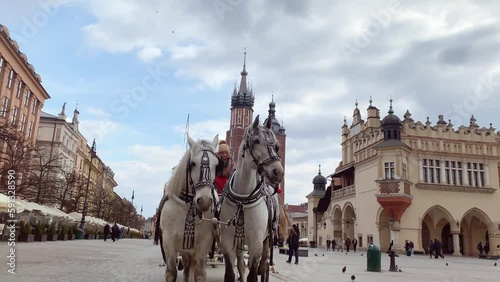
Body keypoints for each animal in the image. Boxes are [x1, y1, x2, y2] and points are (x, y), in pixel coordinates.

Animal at [155, 135, 220, 282]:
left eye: (217, 165)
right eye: (192, 164)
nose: (204, 201)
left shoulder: (203, 245)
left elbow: (199, 274)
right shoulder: (169, 243)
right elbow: (171, 272)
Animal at [220, 115, 286, 282]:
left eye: (277, 146)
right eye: (256, 141)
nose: (278, 172)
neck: (242, 199)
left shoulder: (256, 244)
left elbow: (253, 274)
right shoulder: (227, 242)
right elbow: (231, 273)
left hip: (267, 239)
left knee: (263, 264)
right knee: (241, 264)